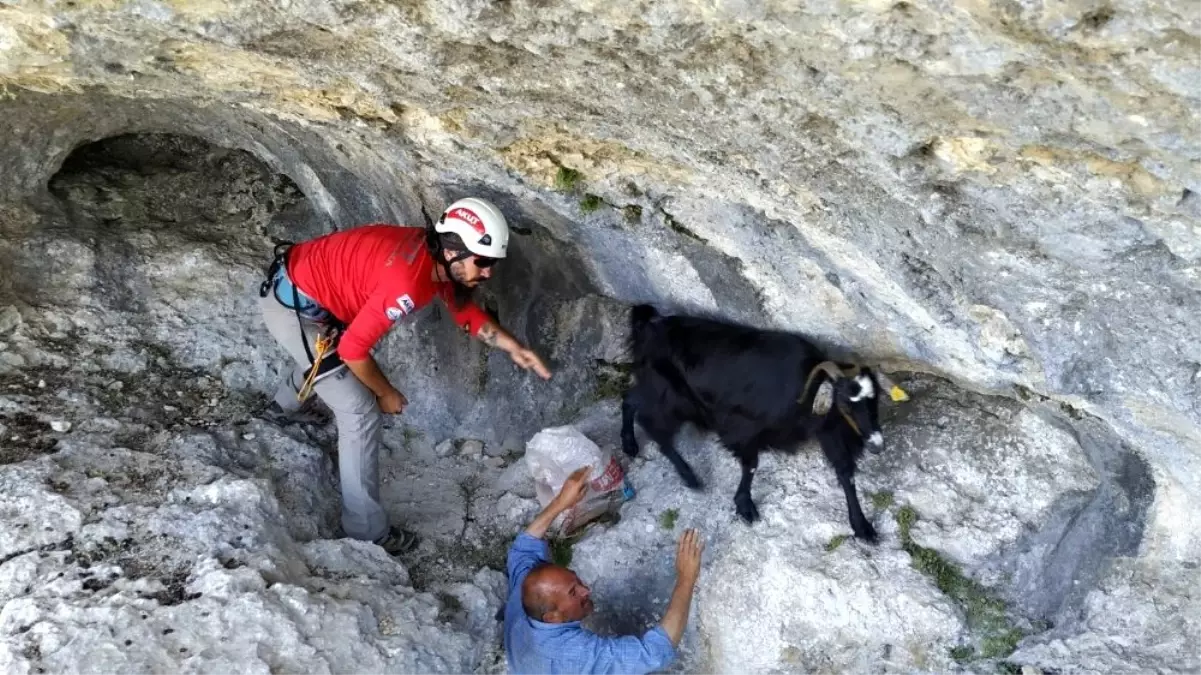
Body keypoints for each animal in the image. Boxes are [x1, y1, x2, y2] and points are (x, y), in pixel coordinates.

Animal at [624, 305, 903, 540]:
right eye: (845, 403)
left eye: (875, 400)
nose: (877, 444)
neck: (806, 387)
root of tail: (649, 326)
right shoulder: (743, 426)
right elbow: (751, 465)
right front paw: (745, 505)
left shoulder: (828, 430)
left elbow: (847, 474)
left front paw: (862, 526)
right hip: (670, 395)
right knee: (652, 425)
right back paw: (688, 475)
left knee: (630, 400)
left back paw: (630, 445)